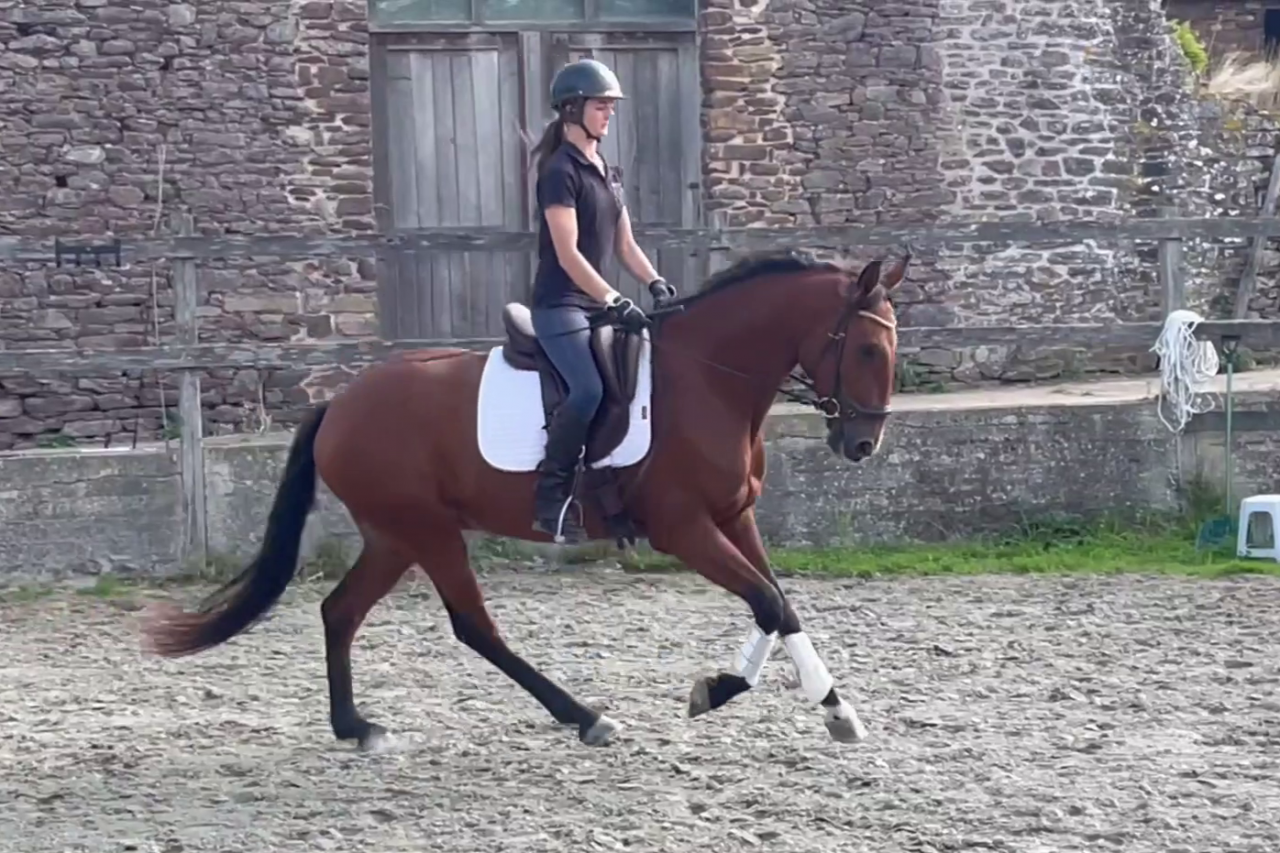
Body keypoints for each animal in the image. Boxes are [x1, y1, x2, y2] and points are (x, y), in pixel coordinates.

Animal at [141, 247, 910, 751]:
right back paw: (585, 715)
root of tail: (339, 405)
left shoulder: (733, 517)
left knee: (340, 611)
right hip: (427, 531)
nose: (863, 444)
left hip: (393, 536)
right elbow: (768, 602)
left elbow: (779, 604)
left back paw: (355, 726)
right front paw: (724, 691)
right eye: (869, 349)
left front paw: (832, 709)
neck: (706, 379)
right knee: (474, 627)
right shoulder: (685, 528)